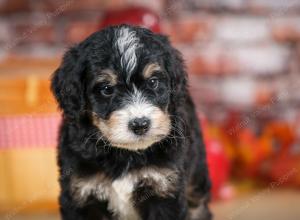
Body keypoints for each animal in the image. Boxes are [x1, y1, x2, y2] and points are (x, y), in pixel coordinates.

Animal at [51, 24, 211, 220]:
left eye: (153, 82)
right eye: (106, 89)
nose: (140, 124)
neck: (125, 153)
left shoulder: (165, 187)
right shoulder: (80, 193)